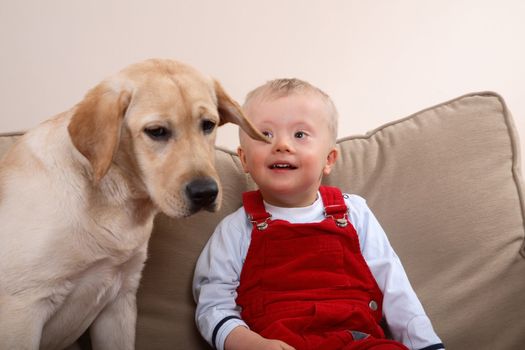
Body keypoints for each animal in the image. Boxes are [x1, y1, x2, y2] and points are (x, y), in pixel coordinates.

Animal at [0, 58, 266, 348]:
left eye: (208, 125)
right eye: (156, 131)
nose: (206, 192)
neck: (118, 199)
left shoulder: (120, 301)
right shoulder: (23, 307)